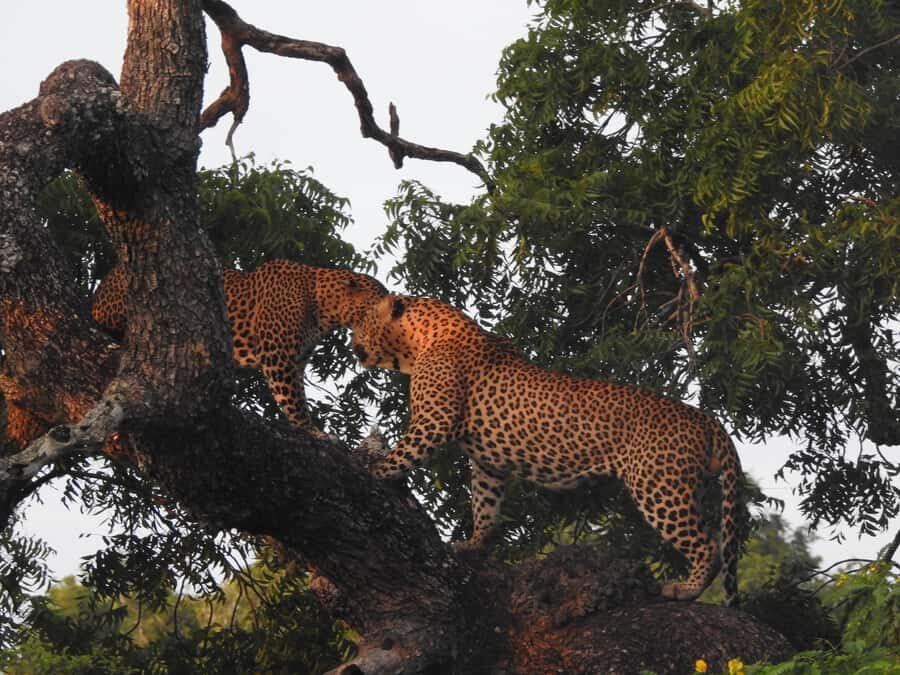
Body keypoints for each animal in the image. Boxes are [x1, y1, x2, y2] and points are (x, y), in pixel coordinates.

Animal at [92, 259, 387, 427]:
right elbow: (293, 400)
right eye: (382, 296)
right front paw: (312, 431)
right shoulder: (278, 357)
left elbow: (297, 395)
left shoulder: (297, 361)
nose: (394, 306)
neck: (325, 308)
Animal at [351, 293, 743, 604]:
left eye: (363, 322)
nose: (352, 343)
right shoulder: (489, 463)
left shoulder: (433, 421)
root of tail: (706, 418)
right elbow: (485, 504)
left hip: (659, 486)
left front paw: (373, 470)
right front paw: (474, 544)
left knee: (708, 545)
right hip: (690, 487)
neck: (419, 341)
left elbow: (402, 454)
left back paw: (685, 589)